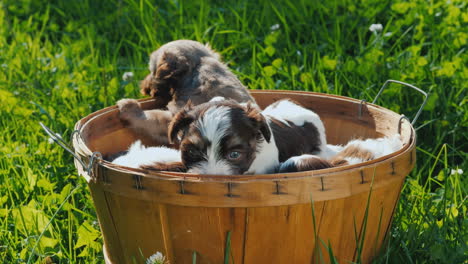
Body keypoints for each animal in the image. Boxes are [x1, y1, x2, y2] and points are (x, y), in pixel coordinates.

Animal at [118, 40, 256, 145]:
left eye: (152, 72)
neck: (198, 67)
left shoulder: (176, 118)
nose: (144, 88)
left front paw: (130, 107)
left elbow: (152, 117)